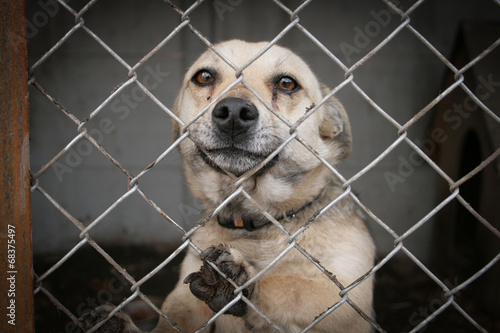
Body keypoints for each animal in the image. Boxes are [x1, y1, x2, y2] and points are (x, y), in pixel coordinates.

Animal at [80, 40, 376, 330]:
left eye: (287, 83)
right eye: (204, 77)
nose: (233, 112)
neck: (253, 221)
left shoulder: (349, 294)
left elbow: (291, 286)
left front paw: (244, 284)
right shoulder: (185, 300)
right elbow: (172, 317)